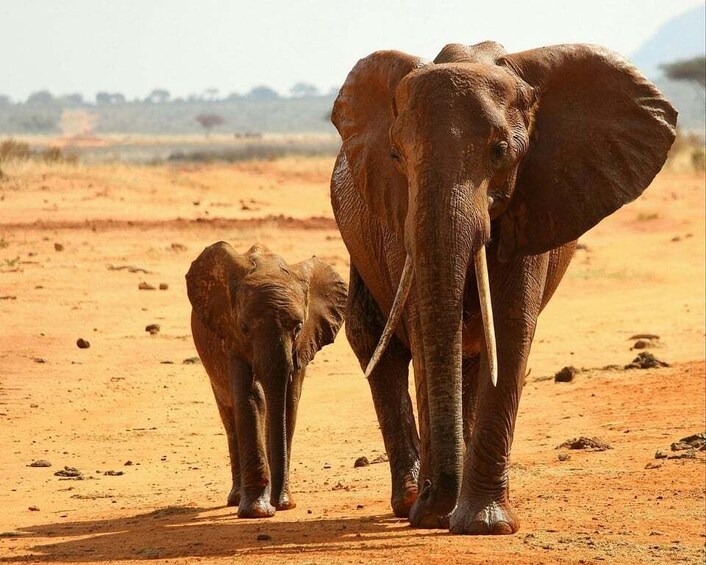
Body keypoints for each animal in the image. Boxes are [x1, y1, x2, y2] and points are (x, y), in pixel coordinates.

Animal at [184, 241, 344, 516]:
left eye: (298, 327)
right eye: (244, 328)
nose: (278, 504)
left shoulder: (305, 342)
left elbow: (289, 402)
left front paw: (282, 503)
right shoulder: (231, 335)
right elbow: (251, 398)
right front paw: (257, 512)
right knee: (229, 415)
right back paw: (237, 499)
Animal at [328, 41, 672, 536]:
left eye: (501, 151)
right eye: (396, 156)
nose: (433, 502)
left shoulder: (535, 199)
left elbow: (510, 329)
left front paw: (482, 524)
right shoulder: (398, 218)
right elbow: (424, 330)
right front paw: (433, 515)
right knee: (378, 341)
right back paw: (409, 500)